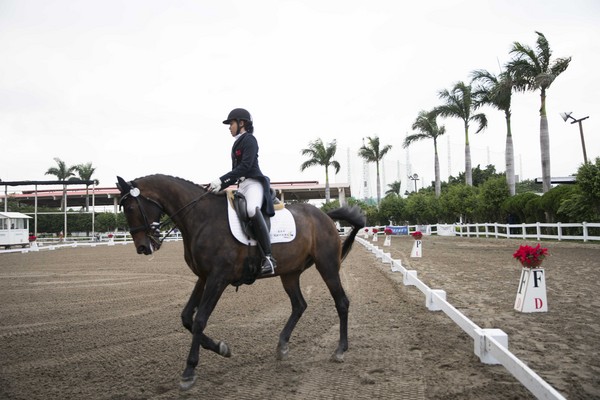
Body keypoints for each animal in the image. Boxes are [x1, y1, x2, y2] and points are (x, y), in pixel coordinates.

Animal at [114, 173, 364, 390]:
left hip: (327, 266)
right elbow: (186, 318)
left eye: (131, 208)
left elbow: (200, 320)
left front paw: (189, 371)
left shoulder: (218, 278)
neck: (201, 218)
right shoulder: (204, 277)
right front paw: (221, 348)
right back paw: (282, 346)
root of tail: (325, 217)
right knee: (299, 305)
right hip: (290, 273)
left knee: (341, 302)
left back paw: (340, 350)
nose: (143, 248)